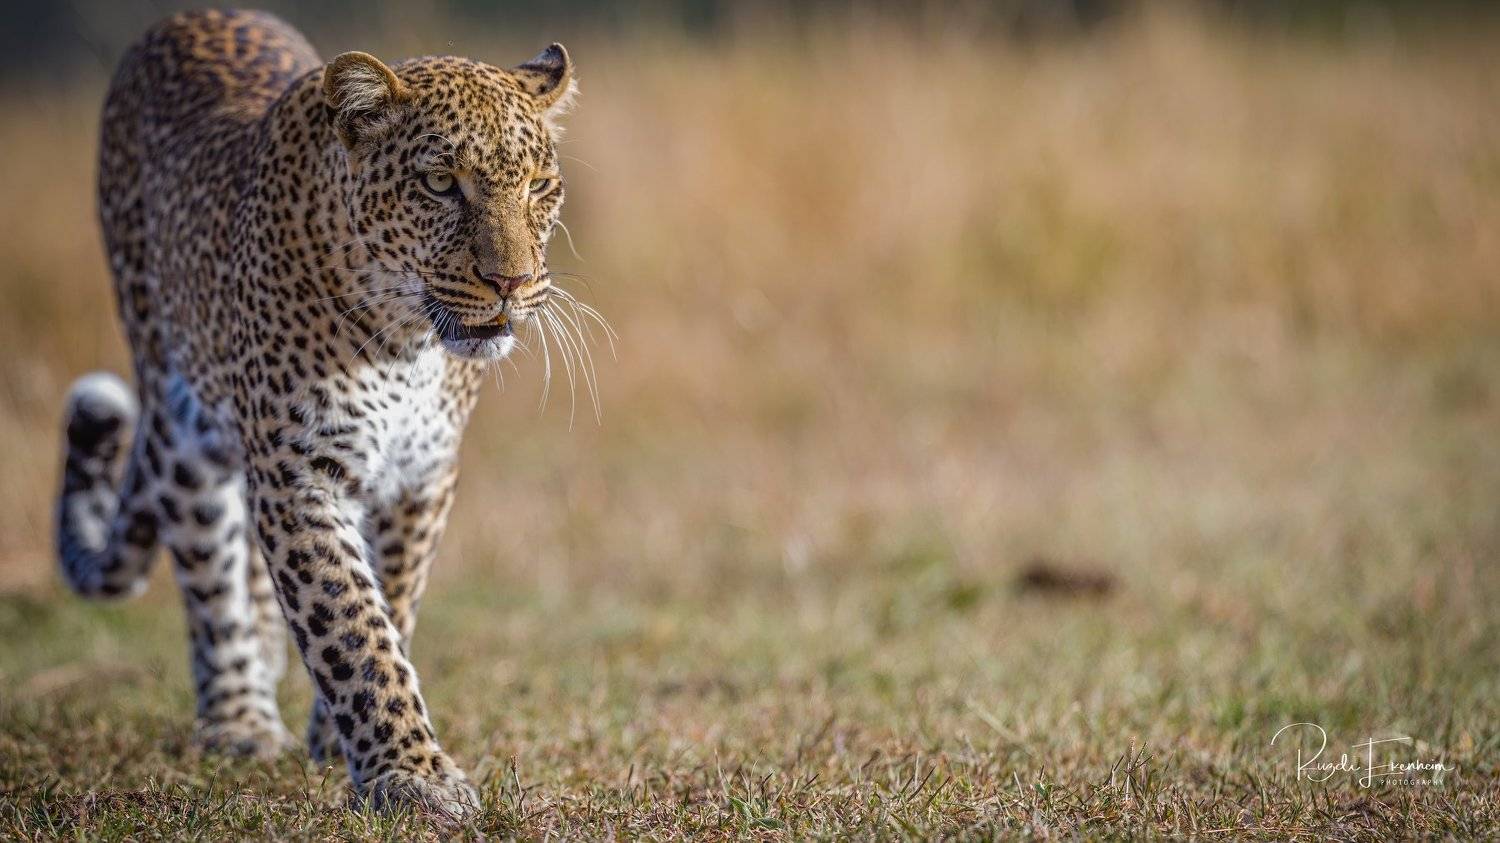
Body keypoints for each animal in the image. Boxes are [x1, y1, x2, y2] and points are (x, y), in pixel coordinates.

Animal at [53, 8, 589, 819]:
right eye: (440, 184)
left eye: (540, 186)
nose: (513, 282)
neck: (407, 345)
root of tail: (192, 15)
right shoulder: (298, 471)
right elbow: (352, 623)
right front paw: (413, 774)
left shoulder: (421, 478)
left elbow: (390, 602)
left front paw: (344, 745)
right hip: (179, 421)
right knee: (212, 579)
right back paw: (240, 720)